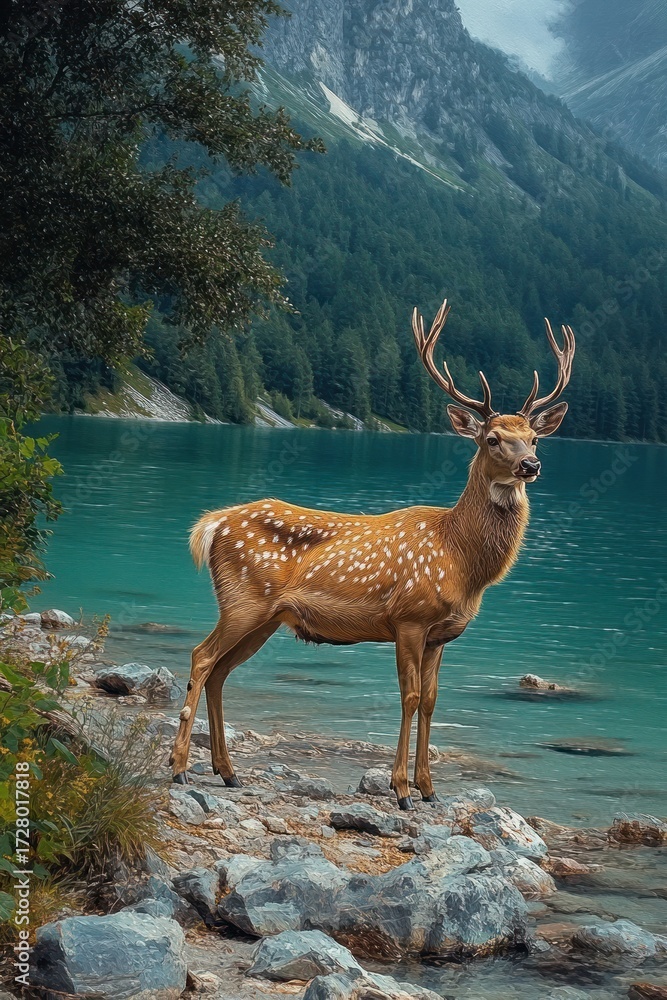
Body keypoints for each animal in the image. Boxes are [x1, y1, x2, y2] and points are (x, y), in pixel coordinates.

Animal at [171, 299, 575, 809]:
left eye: (535, 438)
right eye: (492, 439)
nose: (531, 465)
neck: (461, 559)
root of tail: (214, 524)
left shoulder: (442, 634)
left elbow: (432, 701)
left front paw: (429, 789)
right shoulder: (408, 617)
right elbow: (408, 697)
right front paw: (400, 789)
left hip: (265, 616)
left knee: (220, 672)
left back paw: (228, 772)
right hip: (244, 598)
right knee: (202, 658)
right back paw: (179, 768)